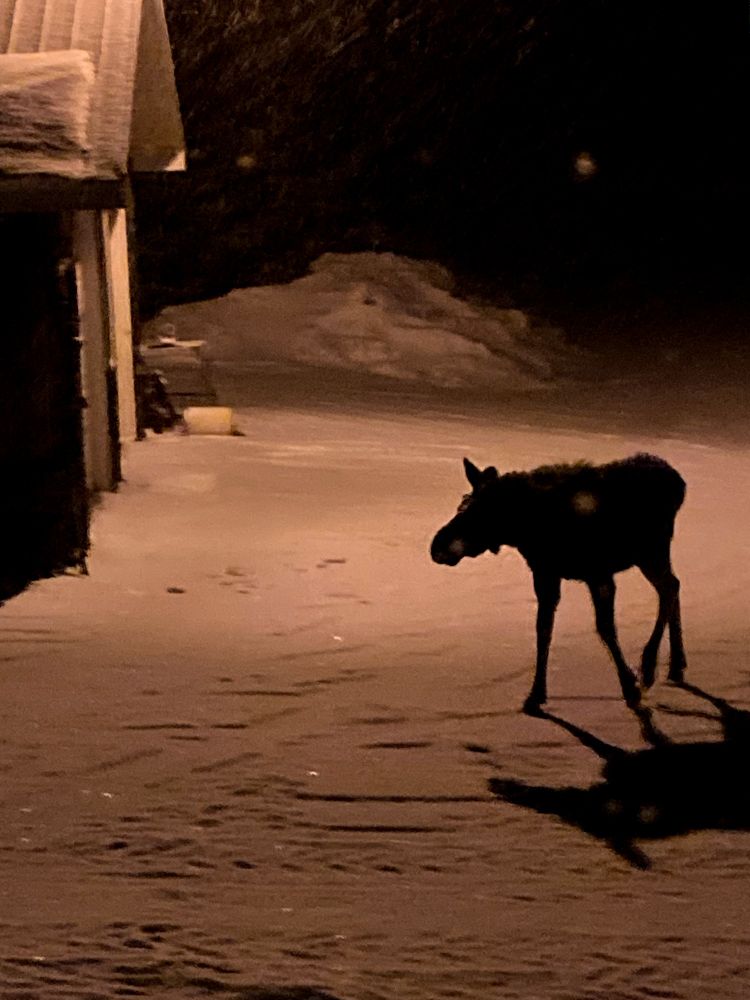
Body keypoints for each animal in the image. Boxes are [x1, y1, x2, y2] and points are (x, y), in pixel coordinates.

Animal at [430, 453, 687, 713]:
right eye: (462, 502)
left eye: (479, 511)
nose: (436, 546)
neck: (524, 530)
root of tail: (679, 482)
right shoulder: (546, 574)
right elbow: (543, 629)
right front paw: (536, 694)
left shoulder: (599, 574)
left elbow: (605, 627)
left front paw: (630, 687)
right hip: (652, 554)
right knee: (673, 585)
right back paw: (676, 664)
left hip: (651, 551)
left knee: (668, 589)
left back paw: (650, 666)